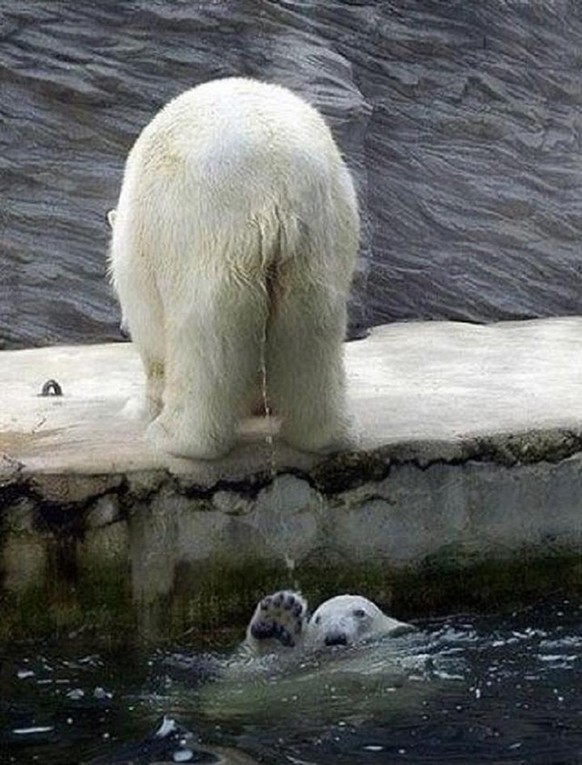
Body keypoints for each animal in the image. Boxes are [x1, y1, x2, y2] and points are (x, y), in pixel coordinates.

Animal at [107, 77, 358, 460]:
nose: (120, 329)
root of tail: (275, 181)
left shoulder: (142, 248)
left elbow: (151, 337)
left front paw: (139, 407)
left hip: (202, 230)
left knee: (204, 335)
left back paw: (175, 437)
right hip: (322, 234)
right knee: (311, 329)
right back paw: (322, 434)